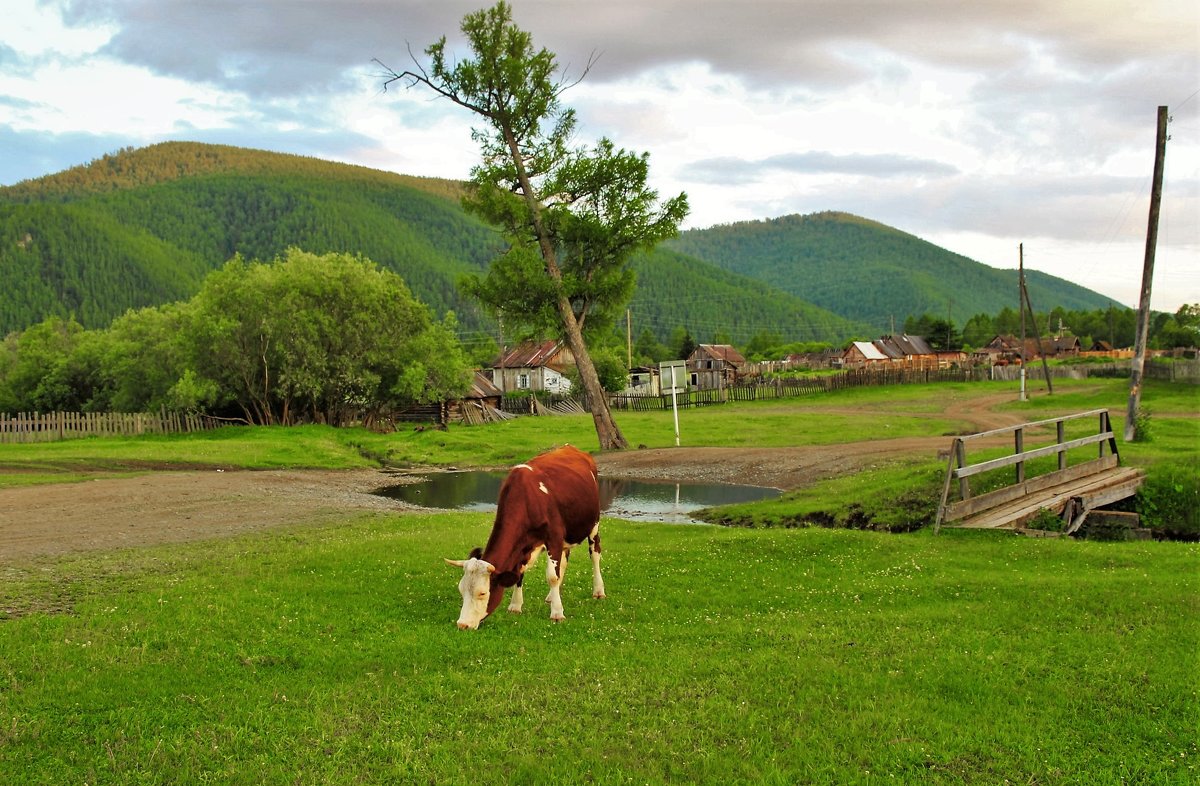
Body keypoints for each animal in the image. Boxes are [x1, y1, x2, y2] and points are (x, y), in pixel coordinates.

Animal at [446, 446, 604, 628]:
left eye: (482, 593)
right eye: (461, 590)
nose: (462, 624)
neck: (528, 500)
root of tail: (570, 447)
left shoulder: (554, 538)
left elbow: (552, 576)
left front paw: (557, 613)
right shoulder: (523, 545)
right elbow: (519, 573)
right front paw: (515, 605)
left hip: (594, 523)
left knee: (595, 554)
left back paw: (598, 591)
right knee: (564, 560)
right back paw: (551, 597)